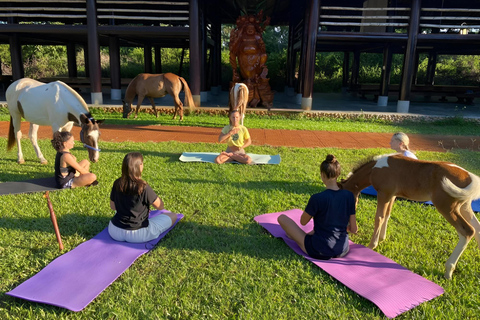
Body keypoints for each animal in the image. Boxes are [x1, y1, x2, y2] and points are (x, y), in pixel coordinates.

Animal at [338, 154, 480, 278]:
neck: (375, 168)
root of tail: (469, 176)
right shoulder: (392, 195)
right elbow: (387, 215)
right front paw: (382, 238)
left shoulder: (384, 193)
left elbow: (379, 217)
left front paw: (371, 245)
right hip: (464, 206)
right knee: (477, 227)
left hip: (447, 207)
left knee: (468, 231)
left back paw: (448, 270)